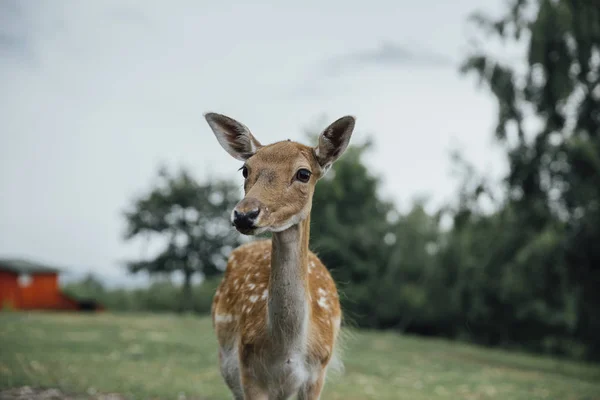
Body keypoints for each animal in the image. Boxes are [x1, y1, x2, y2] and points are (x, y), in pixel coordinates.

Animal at [205, 112, 356, 400]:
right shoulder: (248, 371)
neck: (287, 351)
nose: (244, 215)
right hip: (227, 365)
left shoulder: (316, 376)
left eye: (304, 173)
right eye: (245, 169)